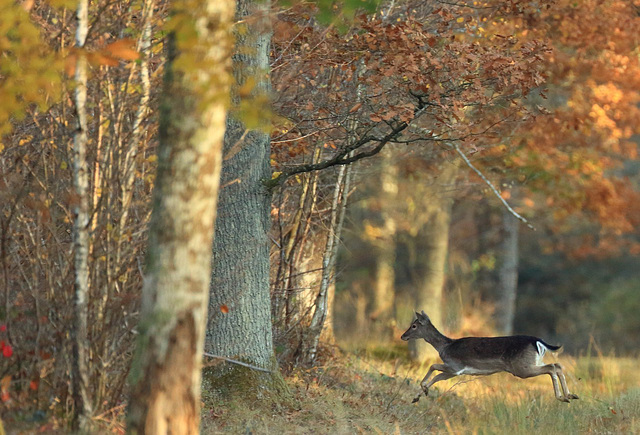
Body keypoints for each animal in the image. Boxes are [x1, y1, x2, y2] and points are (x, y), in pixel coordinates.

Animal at [402, 312, 576, 404]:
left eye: (414, 325)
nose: (403, 336)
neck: (445, 347)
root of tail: (538, 341)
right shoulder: (454, 371)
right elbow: (437, 377)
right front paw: (417, 396)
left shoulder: (455, 366)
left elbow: (433, 367)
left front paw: (423, 388)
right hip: (533, 362)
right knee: (557, 365)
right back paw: (570, 395)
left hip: (522, 368)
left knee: (552, 367)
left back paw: (562, 397)